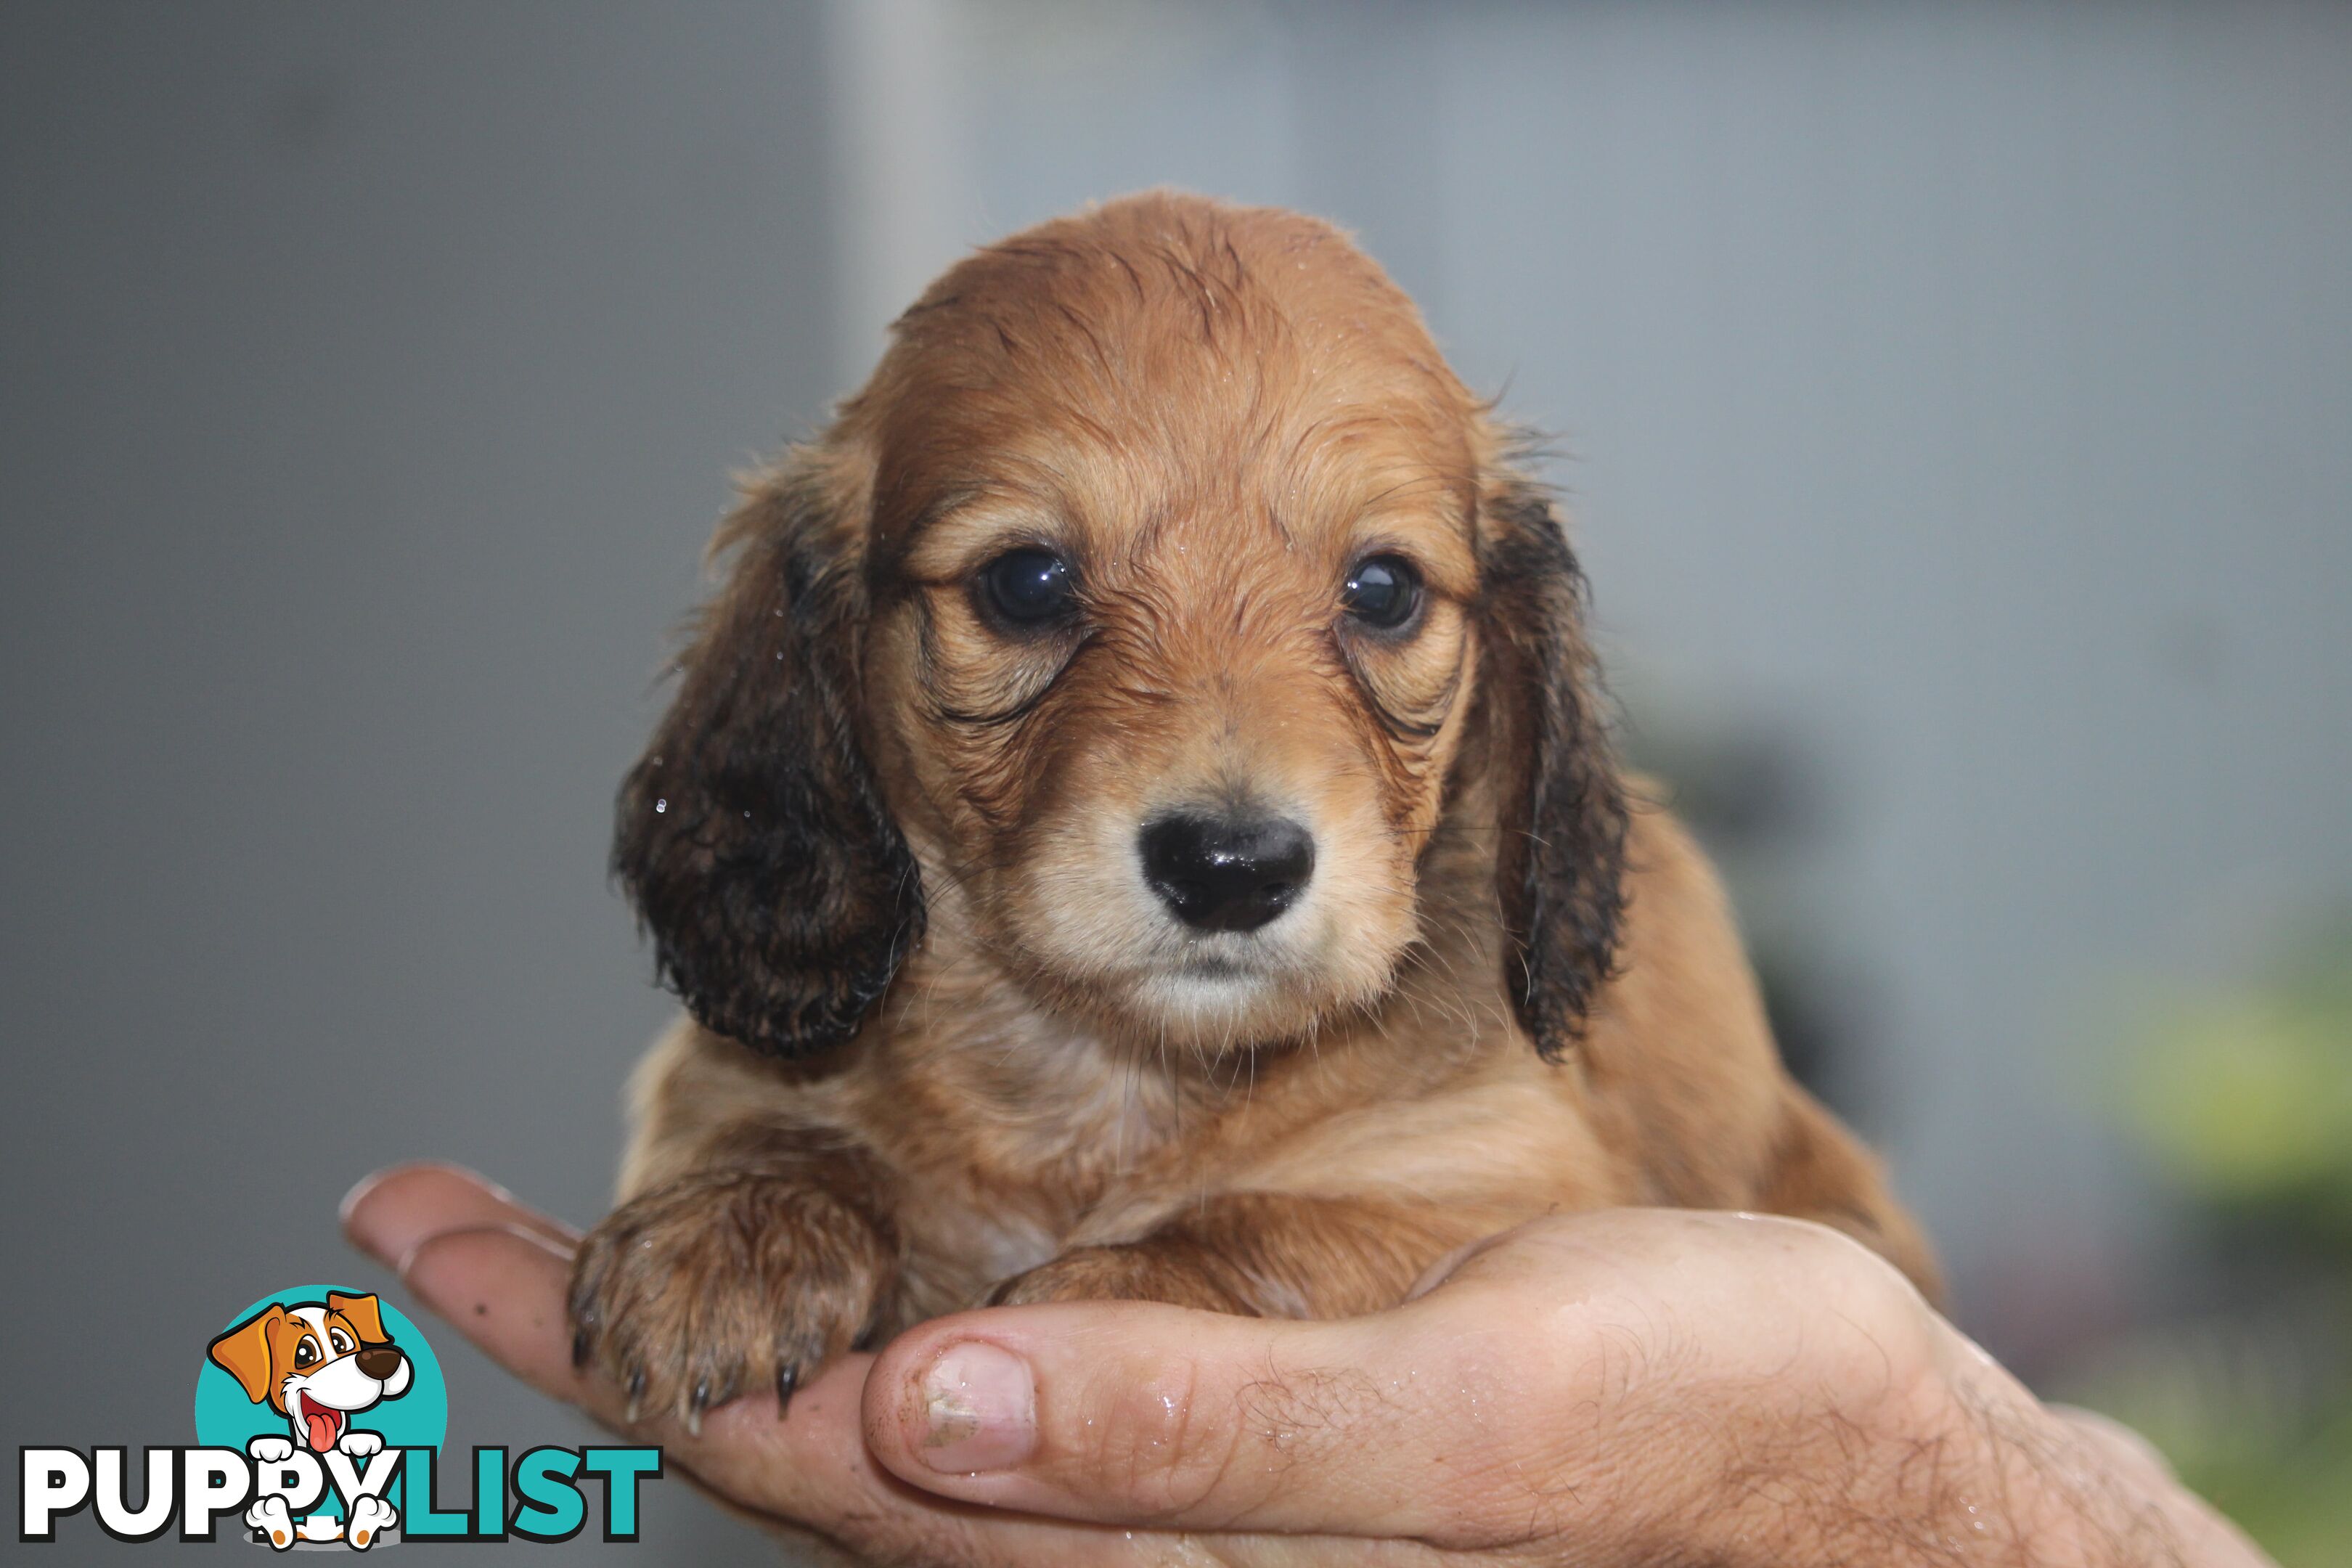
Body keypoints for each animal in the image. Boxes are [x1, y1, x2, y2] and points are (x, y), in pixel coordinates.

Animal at [569, 190, 1928, 1429]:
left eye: (1383, 590)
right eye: (1026, 581)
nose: (1231, 867)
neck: (1113, 1079)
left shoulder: (1495, 1169)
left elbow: (1268, 1232)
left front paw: (1108, 1286)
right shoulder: (712, 1080)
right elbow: (774, 1125)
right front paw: (739, 1226)